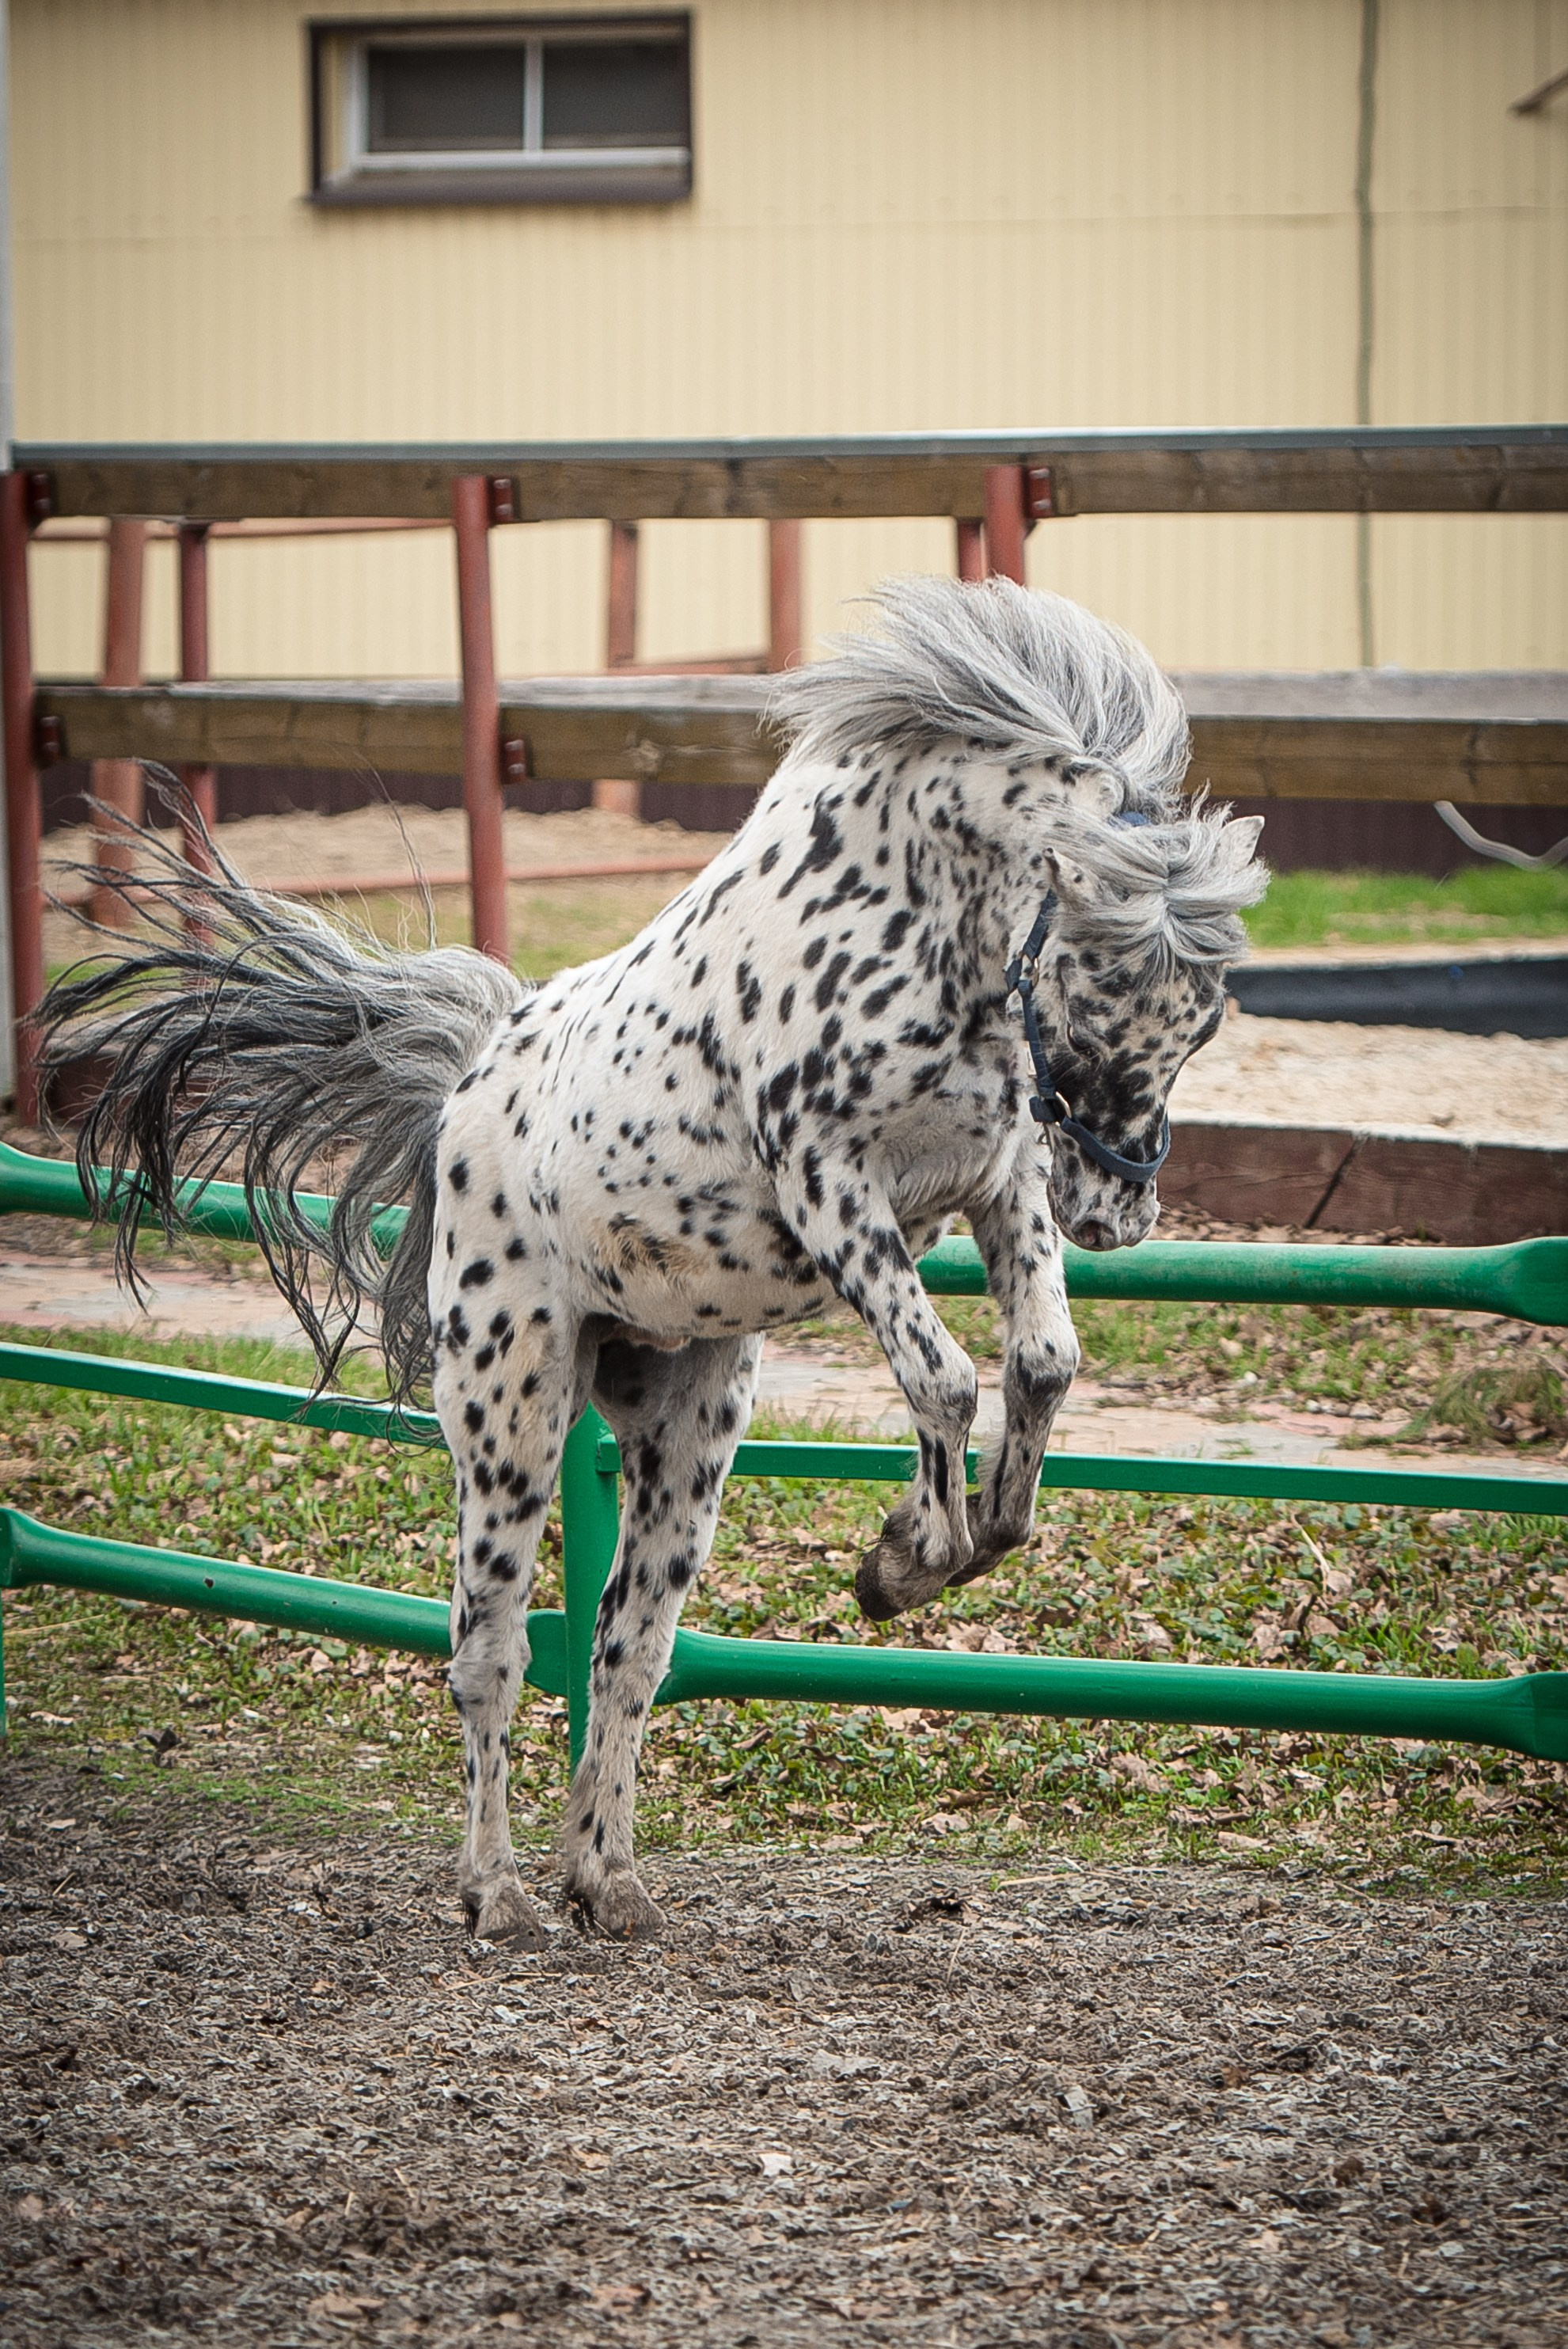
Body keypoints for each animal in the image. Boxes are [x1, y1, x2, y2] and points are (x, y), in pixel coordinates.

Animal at [40, 576, 1265, 1945]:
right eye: (1095, 986)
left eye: (1203, 1017)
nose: (1121, 1211)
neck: (910, 917)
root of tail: (464, 1092)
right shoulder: (832, 1186)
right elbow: (946, 1378)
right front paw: (914, 1559)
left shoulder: (1001, 1180)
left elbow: (1042, 1361)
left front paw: (935, 1544)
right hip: (510, 1426)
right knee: (491, 1651)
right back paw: (500, 1891)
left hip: (686, 1428)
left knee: (628, 1642)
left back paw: (607, 1879)